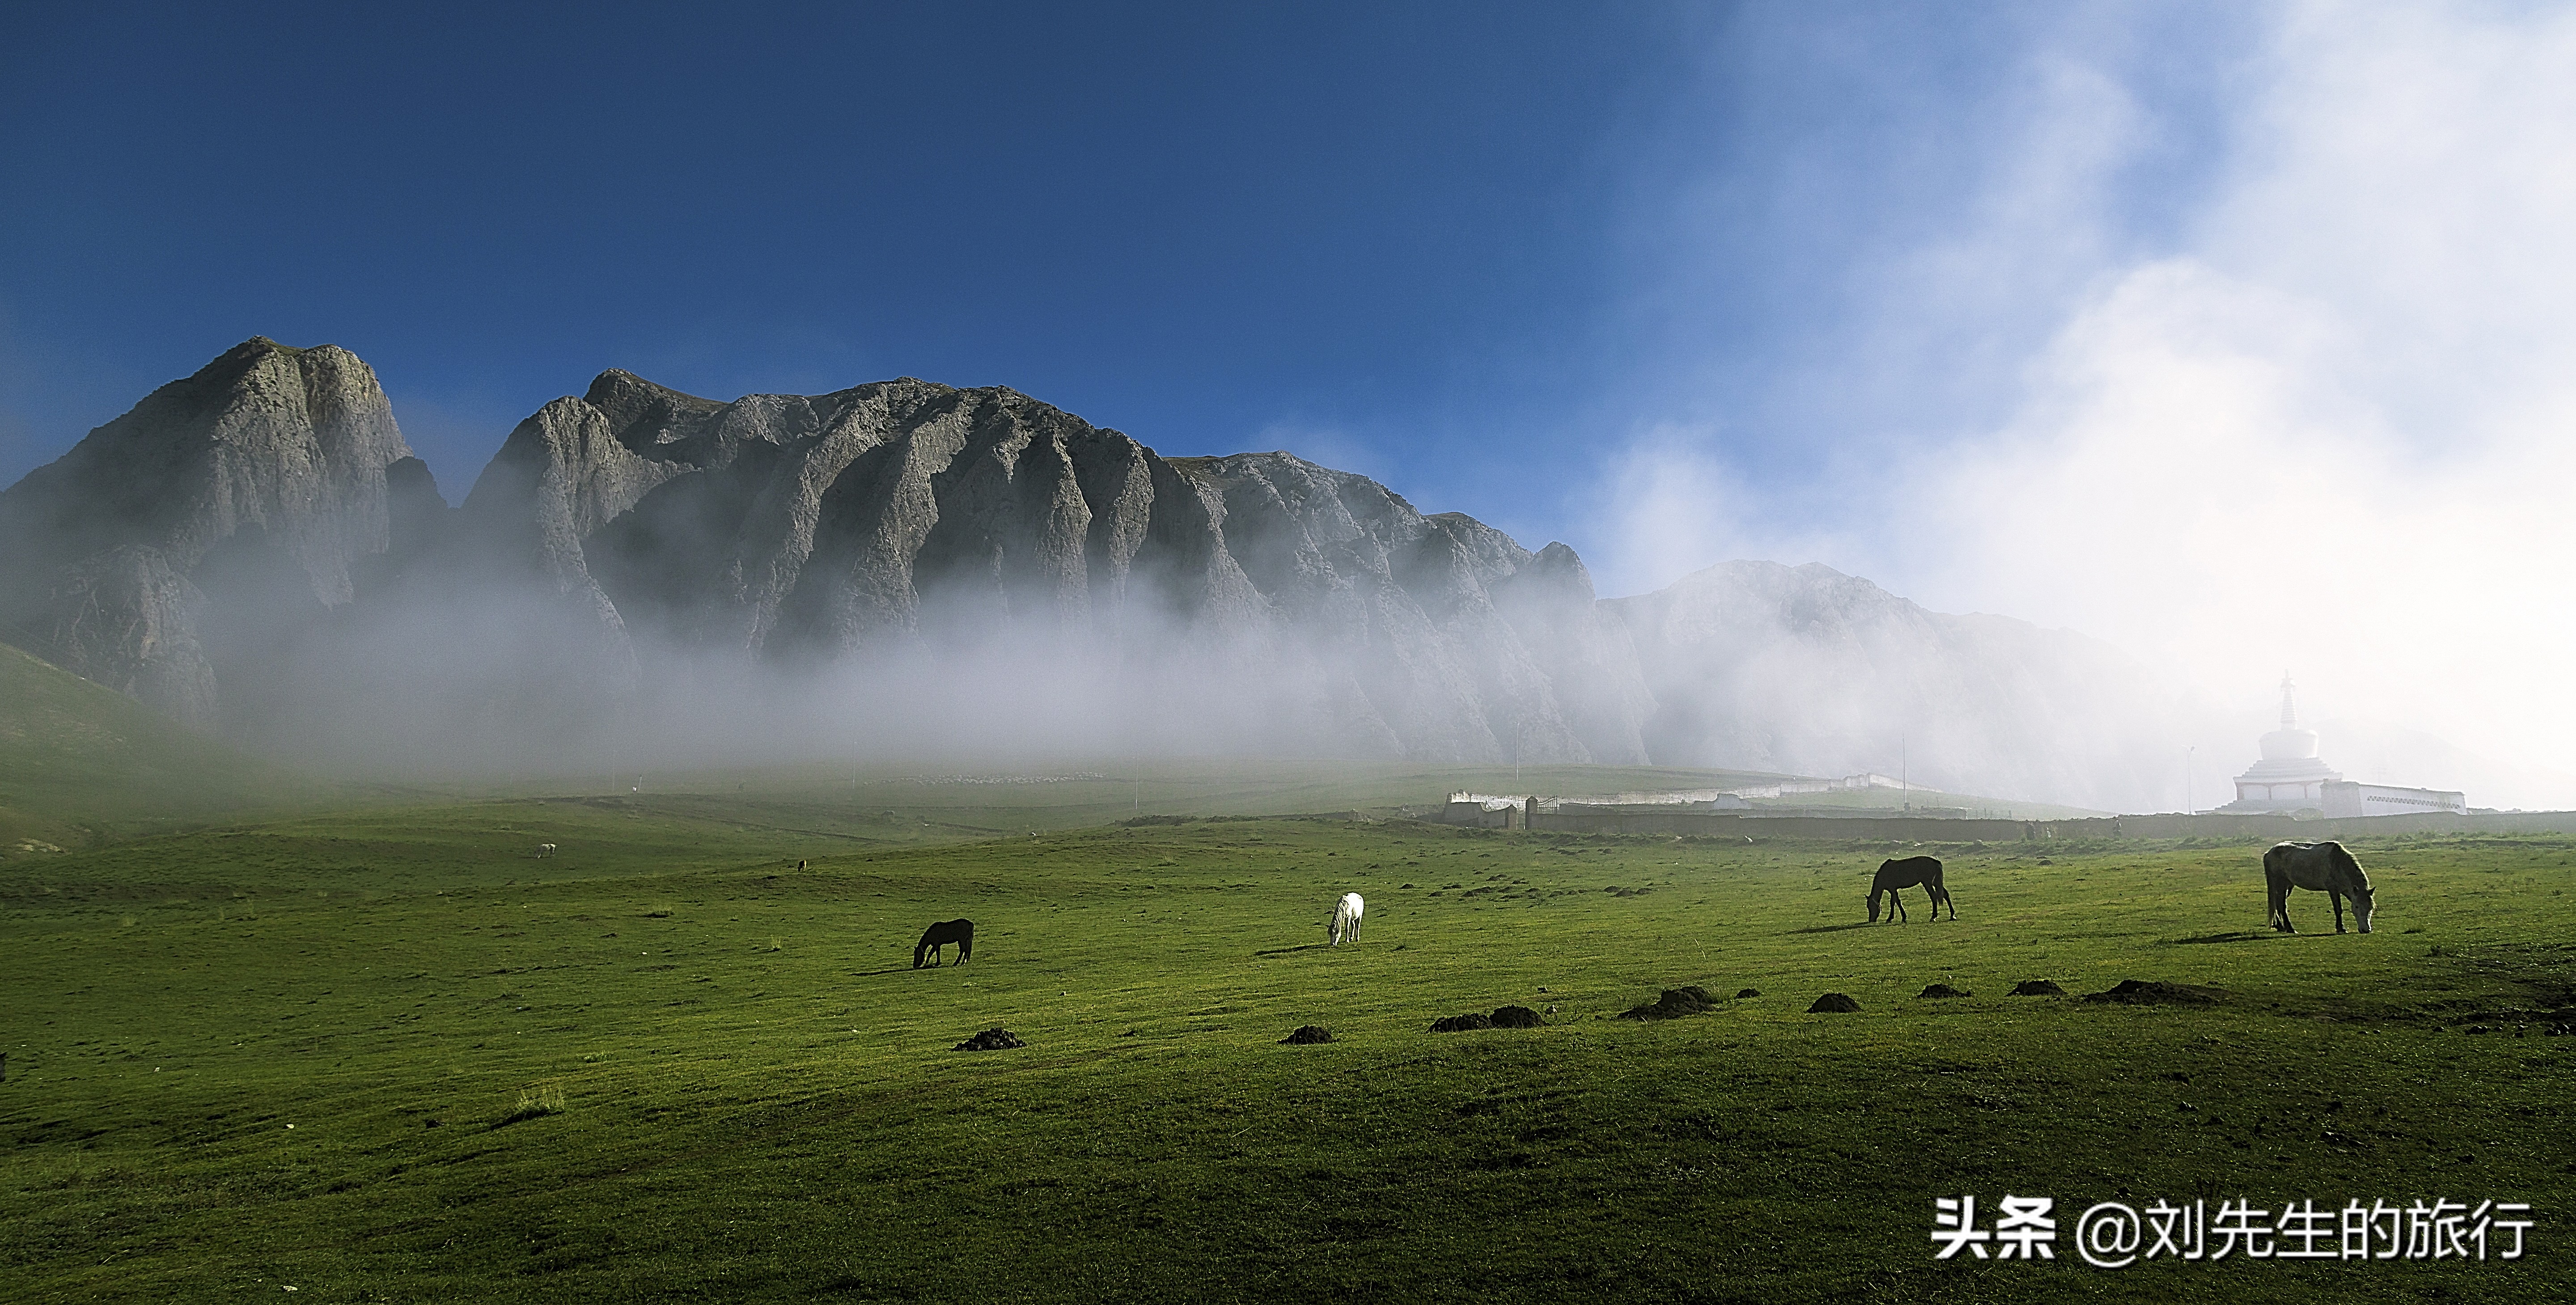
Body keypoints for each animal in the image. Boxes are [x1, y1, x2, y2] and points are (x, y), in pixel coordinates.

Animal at [1875, 861, 1947, 923]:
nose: (1873, 921)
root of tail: (1937, 863)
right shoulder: (1893, 890)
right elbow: (1893, 902)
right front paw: (1890, 919)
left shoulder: (1892, 889)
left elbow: (1897, 902)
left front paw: (1903, 919)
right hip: (1936, 882)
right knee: (1945, 894)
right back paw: (1950, 917)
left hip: (1928, 883)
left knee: (1934, 897)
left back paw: (1933, 918)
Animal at [2277, 841, 2370, 933]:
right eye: (2357, 906)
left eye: (2371, 907)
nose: (2366, 930)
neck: (2338, 864)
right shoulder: (2333, 891)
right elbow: (2338, 909)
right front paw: (2341, 928)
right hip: (2281, 885)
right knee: (2281, 906)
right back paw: (2289, 929)